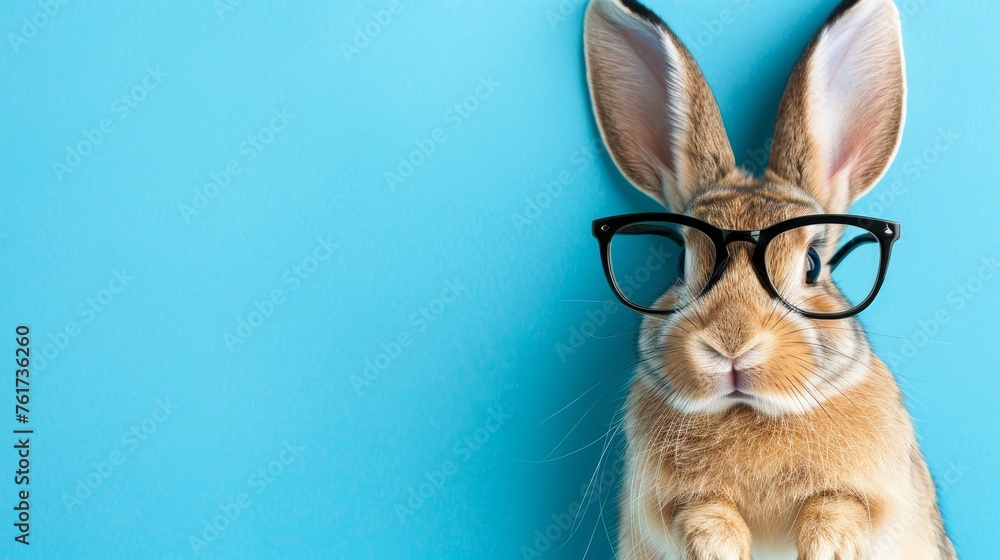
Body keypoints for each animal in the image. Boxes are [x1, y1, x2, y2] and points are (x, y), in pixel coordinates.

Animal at [584, 1, 956, 560]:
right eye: (680, 264)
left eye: (813, 266)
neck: (750, 412)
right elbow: (702, 514)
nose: (732, 344)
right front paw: (721, 549)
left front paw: (828, 548)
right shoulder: (663, 508)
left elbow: (838, 507)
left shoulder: (879, 496)